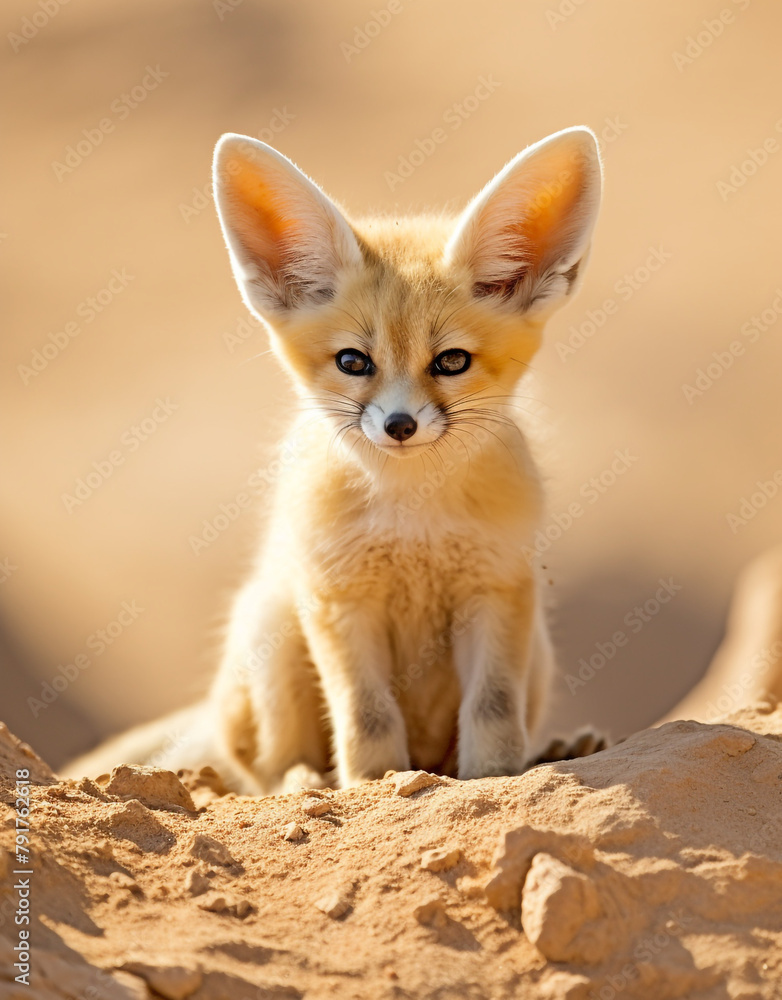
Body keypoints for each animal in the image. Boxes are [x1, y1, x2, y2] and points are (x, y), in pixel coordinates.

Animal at [66, 126, 605, 793]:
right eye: (354, 362)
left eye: (451, 362)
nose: (399, 426)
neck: (412, 521)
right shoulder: (338, 597)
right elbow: (365, 716)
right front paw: (375, 784)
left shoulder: (500, 587)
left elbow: (492, 711)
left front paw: (496, 777)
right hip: (273, 625)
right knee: (258, 773)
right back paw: (305, 783)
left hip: (538, 651)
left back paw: (556, 749)